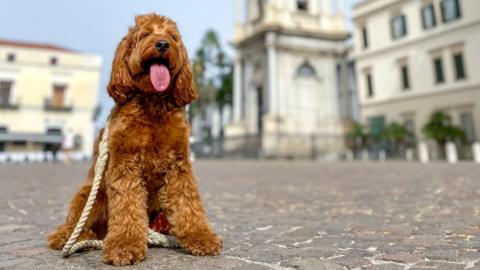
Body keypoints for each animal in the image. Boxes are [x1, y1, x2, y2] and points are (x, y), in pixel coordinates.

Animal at [47, 13, 223, 264]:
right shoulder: (125, 164)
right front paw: (124, 245)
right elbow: (127, 206)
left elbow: (188, 204)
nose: (162, 44)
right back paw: (66, 237)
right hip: (90, 195)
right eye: (145, 34)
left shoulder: (178, 166)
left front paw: (200, 236)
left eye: (173, 37)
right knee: (76, 222)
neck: (152, 103)